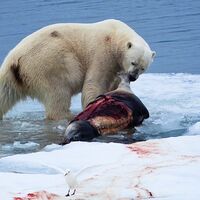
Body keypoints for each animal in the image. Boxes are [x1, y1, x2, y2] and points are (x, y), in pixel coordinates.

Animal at [0, 19, 155, 120]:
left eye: (143, 68)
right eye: (133, 62)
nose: (133, 77)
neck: (115, 34)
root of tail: (14, 61)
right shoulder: (102, 53)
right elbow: (95, 82)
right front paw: (94, 103)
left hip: (13, 77)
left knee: (5, 94)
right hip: (48, 62)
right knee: (59, 92)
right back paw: (67, 115)